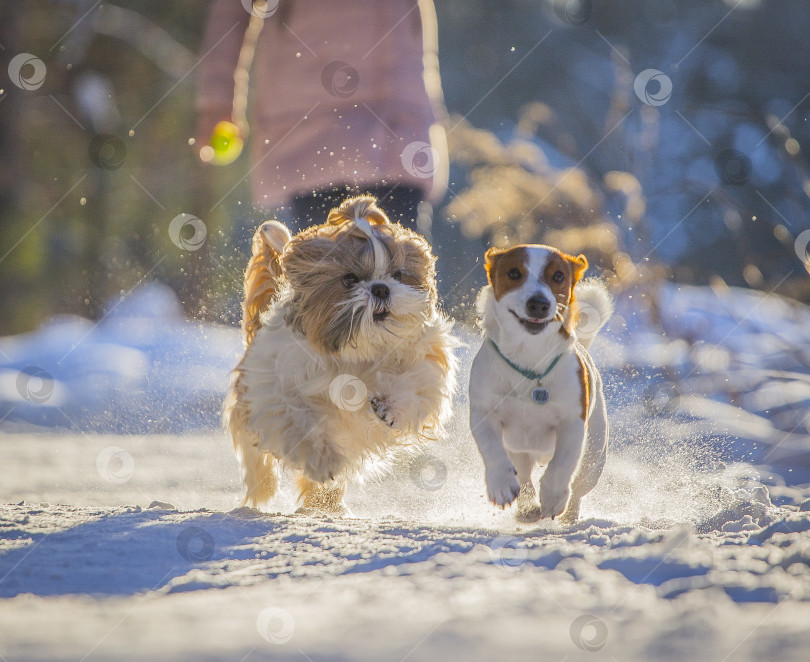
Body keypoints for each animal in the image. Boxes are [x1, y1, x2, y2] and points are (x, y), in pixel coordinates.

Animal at [224, 195, 458, 516]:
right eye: (349, 279)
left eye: (398, 275)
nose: (381, 288)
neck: (358, 350)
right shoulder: (278, 390)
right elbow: (300, 422)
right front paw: (323, 460)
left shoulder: (424, 358)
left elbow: (414, 384)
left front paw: (389, 407)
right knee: (258, 461)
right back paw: (264, 495)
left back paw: (327, 505)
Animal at [470, 244, 608, 524]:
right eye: (514, 273)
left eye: (558, 276)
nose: (539, 303)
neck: (529, 356)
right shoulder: (483, 410)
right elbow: (492, 447)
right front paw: (501, 485)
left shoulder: (572, 421)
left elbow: (562, 464)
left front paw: (553, 498)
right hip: (519, 451)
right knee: (523, 476)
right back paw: (527, 508)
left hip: (594, 457)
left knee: (578, 487)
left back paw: (568, 517)